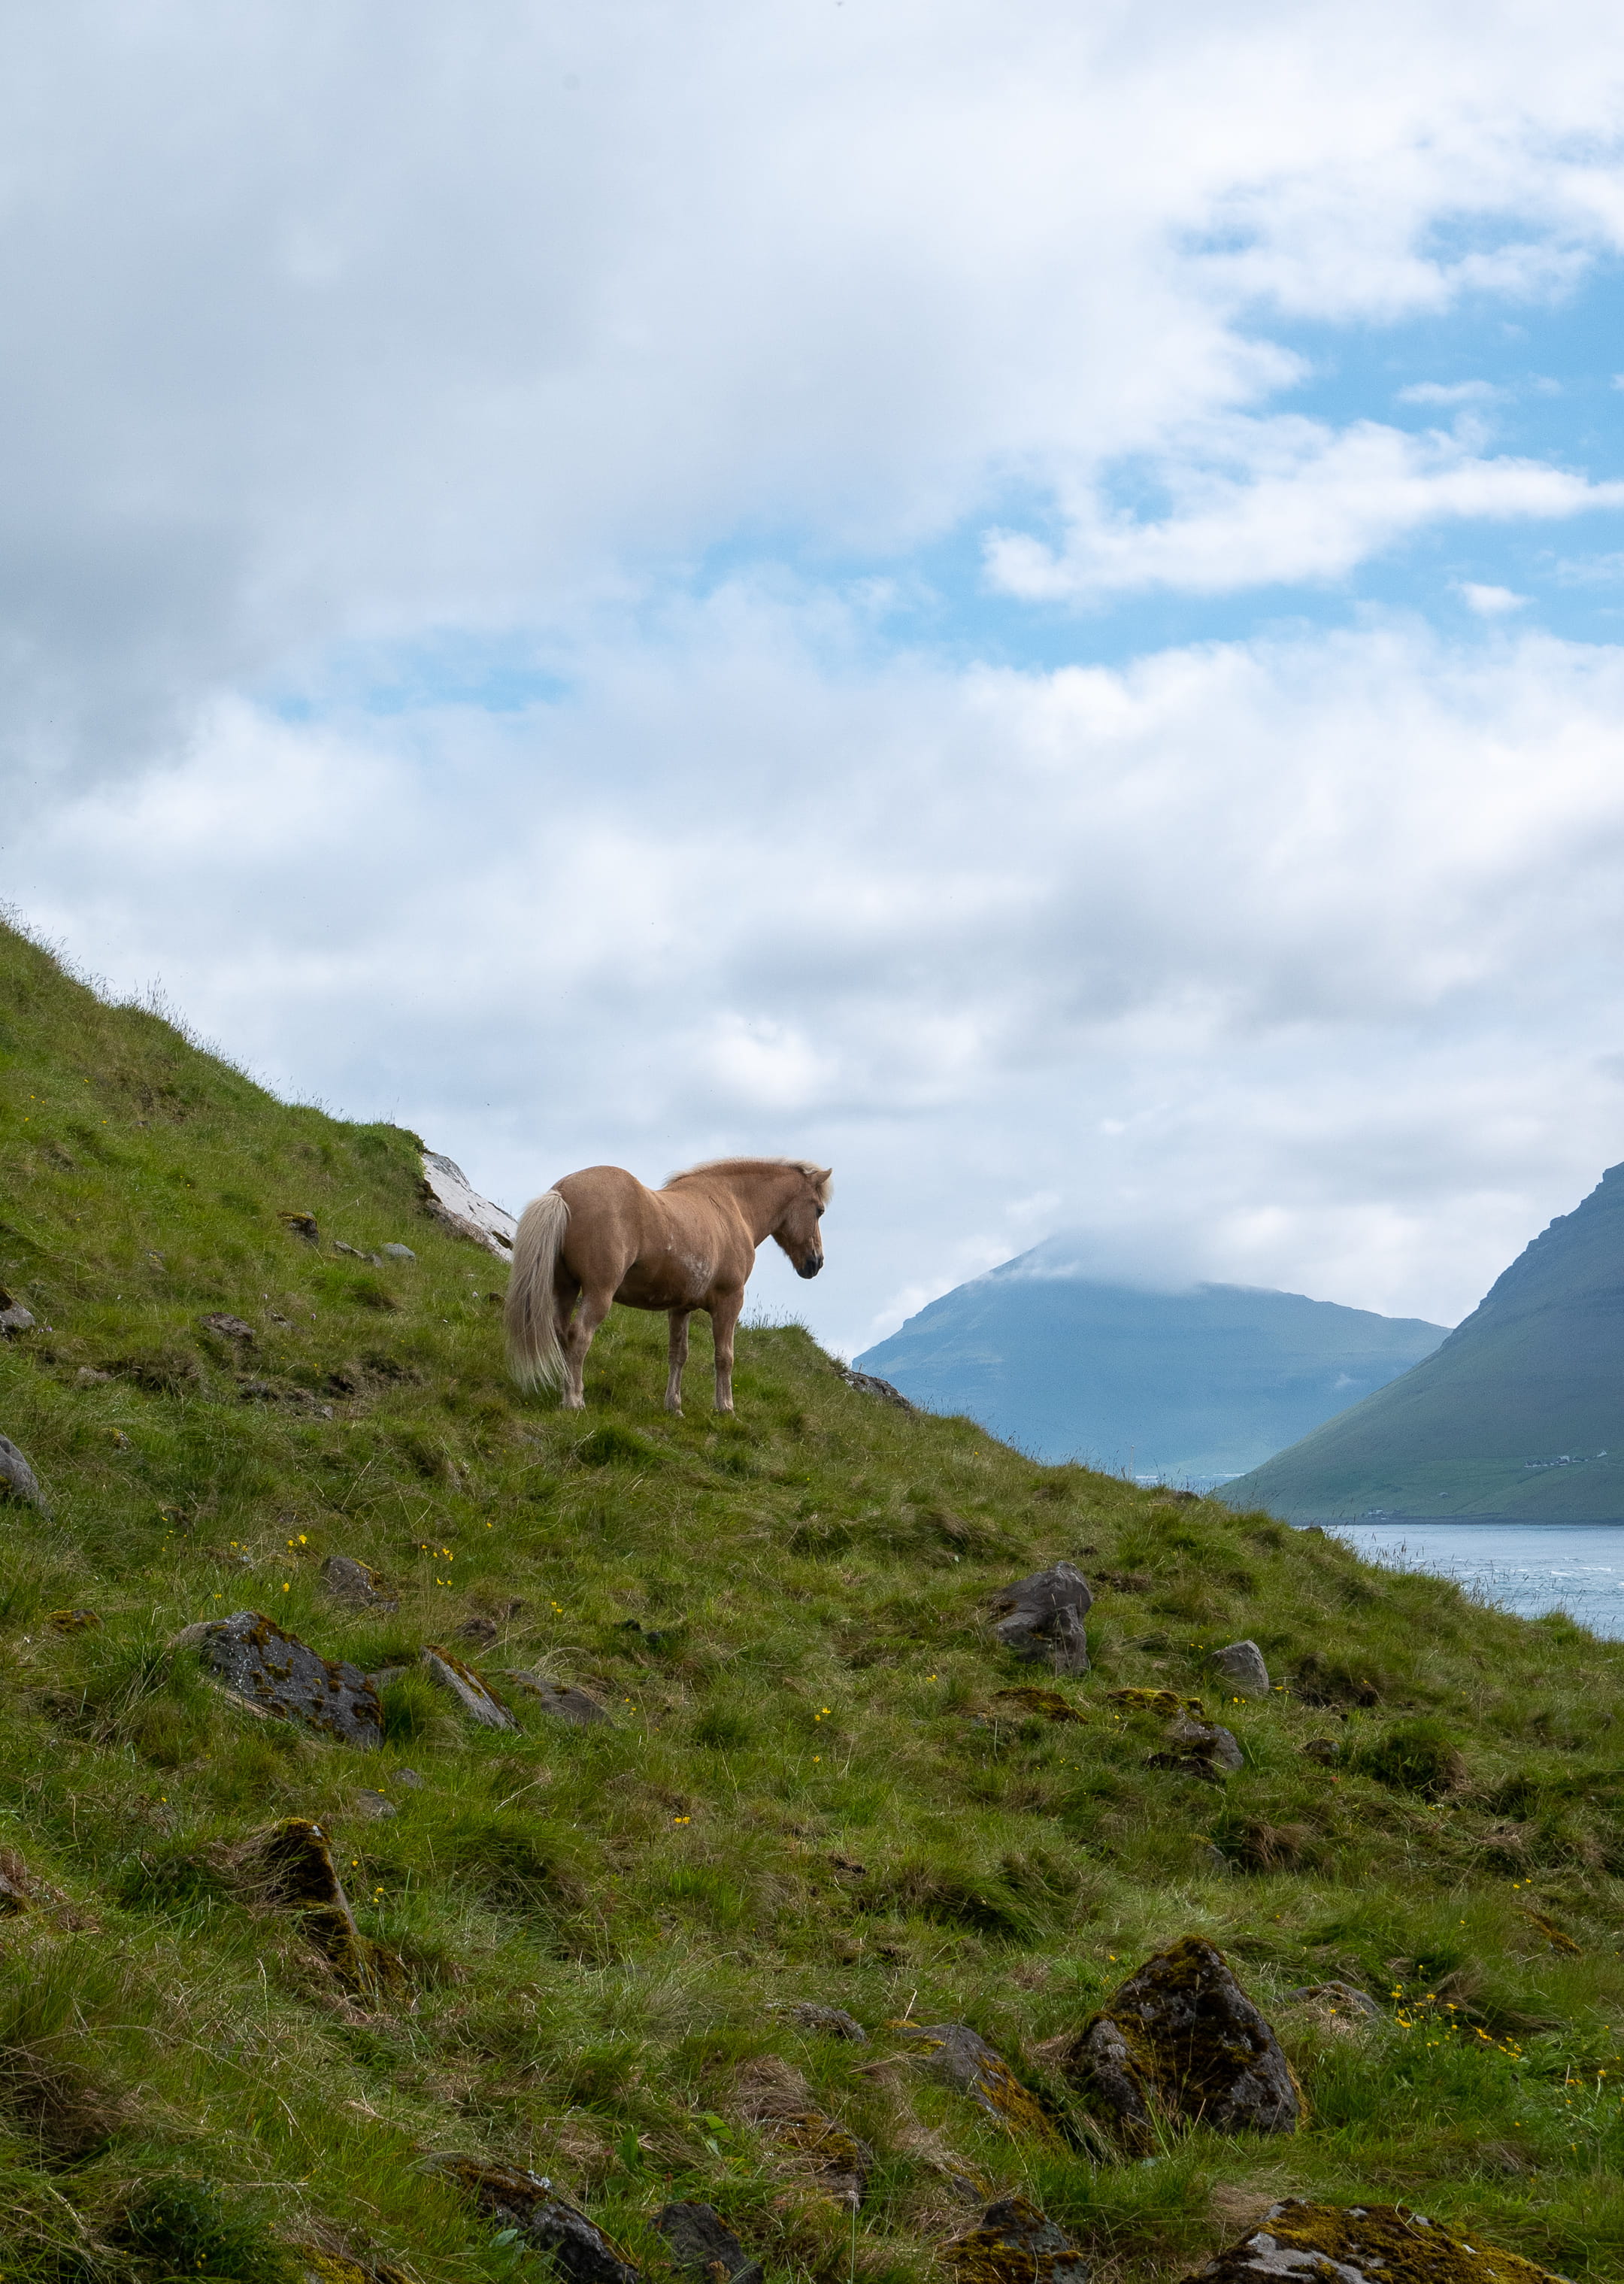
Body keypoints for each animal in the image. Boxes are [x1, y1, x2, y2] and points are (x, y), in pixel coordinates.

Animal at [503, 1157, 832, 1413]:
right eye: (819, 1210)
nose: (816, 1263)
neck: (730, 1208)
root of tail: (563, 1192)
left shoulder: (680, 1308)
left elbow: (678, 1354)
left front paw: (673, 1406)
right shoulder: (730, 1301)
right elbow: (724, 1356)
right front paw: (725, 1408)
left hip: (566, 1288)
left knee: (561, 1332)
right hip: (598, 1293)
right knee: (580, 1335)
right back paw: (574, 1399)